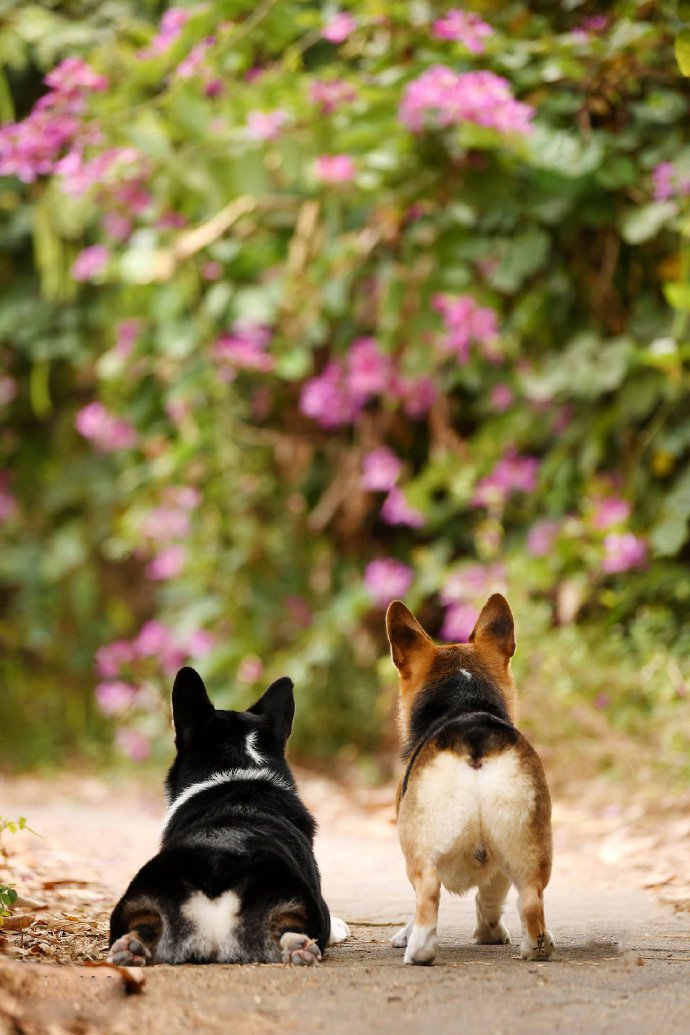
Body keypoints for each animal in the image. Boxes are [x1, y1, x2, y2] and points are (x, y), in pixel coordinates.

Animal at [386, 596, 554, 964]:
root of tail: (474, 733)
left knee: (428, 891)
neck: (464, 701)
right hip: (529, 848)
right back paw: (537, 947)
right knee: (530, 900)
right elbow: (491, 896)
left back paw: (419, 950)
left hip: (419, 850)